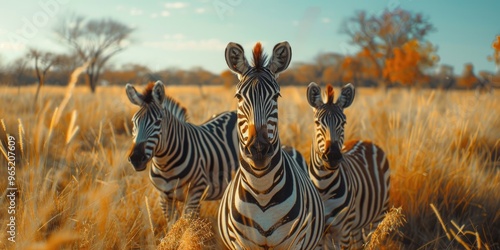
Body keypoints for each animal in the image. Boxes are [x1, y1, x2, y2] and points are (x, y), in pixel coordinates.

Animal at [127, 81, 240, 226]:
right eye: (134, 122)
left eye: (158, 122)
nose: (136, 158)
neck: (165, 166)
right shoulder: (164, 198)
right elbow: (172, 227)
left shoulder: (195, 194)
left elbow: (186, 227)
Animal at [218, 42, 326, 249]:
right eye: (238, 97)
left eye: (276, 96)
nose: (259, 150)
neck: (262, 189)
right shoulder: (239, 243)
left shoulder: (297, 241)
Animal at [304, 81, 390, 248]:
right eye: (317, 123)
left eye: (343, 123)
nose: (332, 156)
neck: (322, 185)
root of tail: (365, 140)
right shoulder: (318, 233)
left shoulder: (342, 231)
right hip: (356, 225)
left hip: (378, 215)